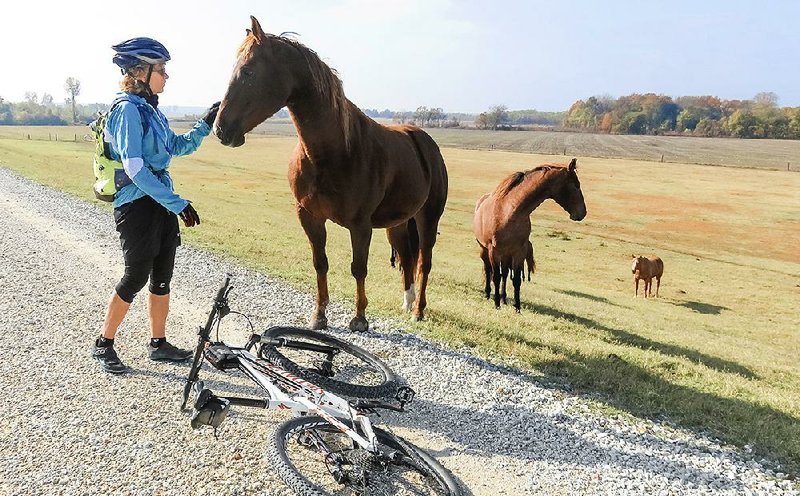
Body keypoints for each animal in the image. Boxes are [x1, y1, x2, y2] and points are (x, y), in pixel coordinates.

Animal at [216, 17, 446, 332]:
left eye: (248, 70)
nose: (220, 128)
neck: (334, 152)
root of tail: (424, 140)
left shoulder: (360, 225)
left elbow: (358, 268)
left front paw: (359, 318)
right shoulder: (309, 216)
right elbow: (320, 262)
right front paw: (319, 314)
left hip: (427, 218)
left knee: (424, 261)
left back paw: (418, 310)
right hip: (398, 223)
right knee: (407, 259)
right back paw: (407, 303)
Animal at [472, 159, 584, 312]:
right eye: (576, 185)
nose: (583, 212)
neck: (510, 212)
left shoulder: (519, 251)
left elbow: (516, 280)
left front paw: (517, 307)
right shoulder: (493, 250)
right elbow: (495, 276)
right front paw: (496, 305)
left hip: (506, 254)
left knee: (504, 274)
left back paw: (504, 298)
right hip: (485, 250)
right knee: (489, 271)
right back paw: (489, 294)